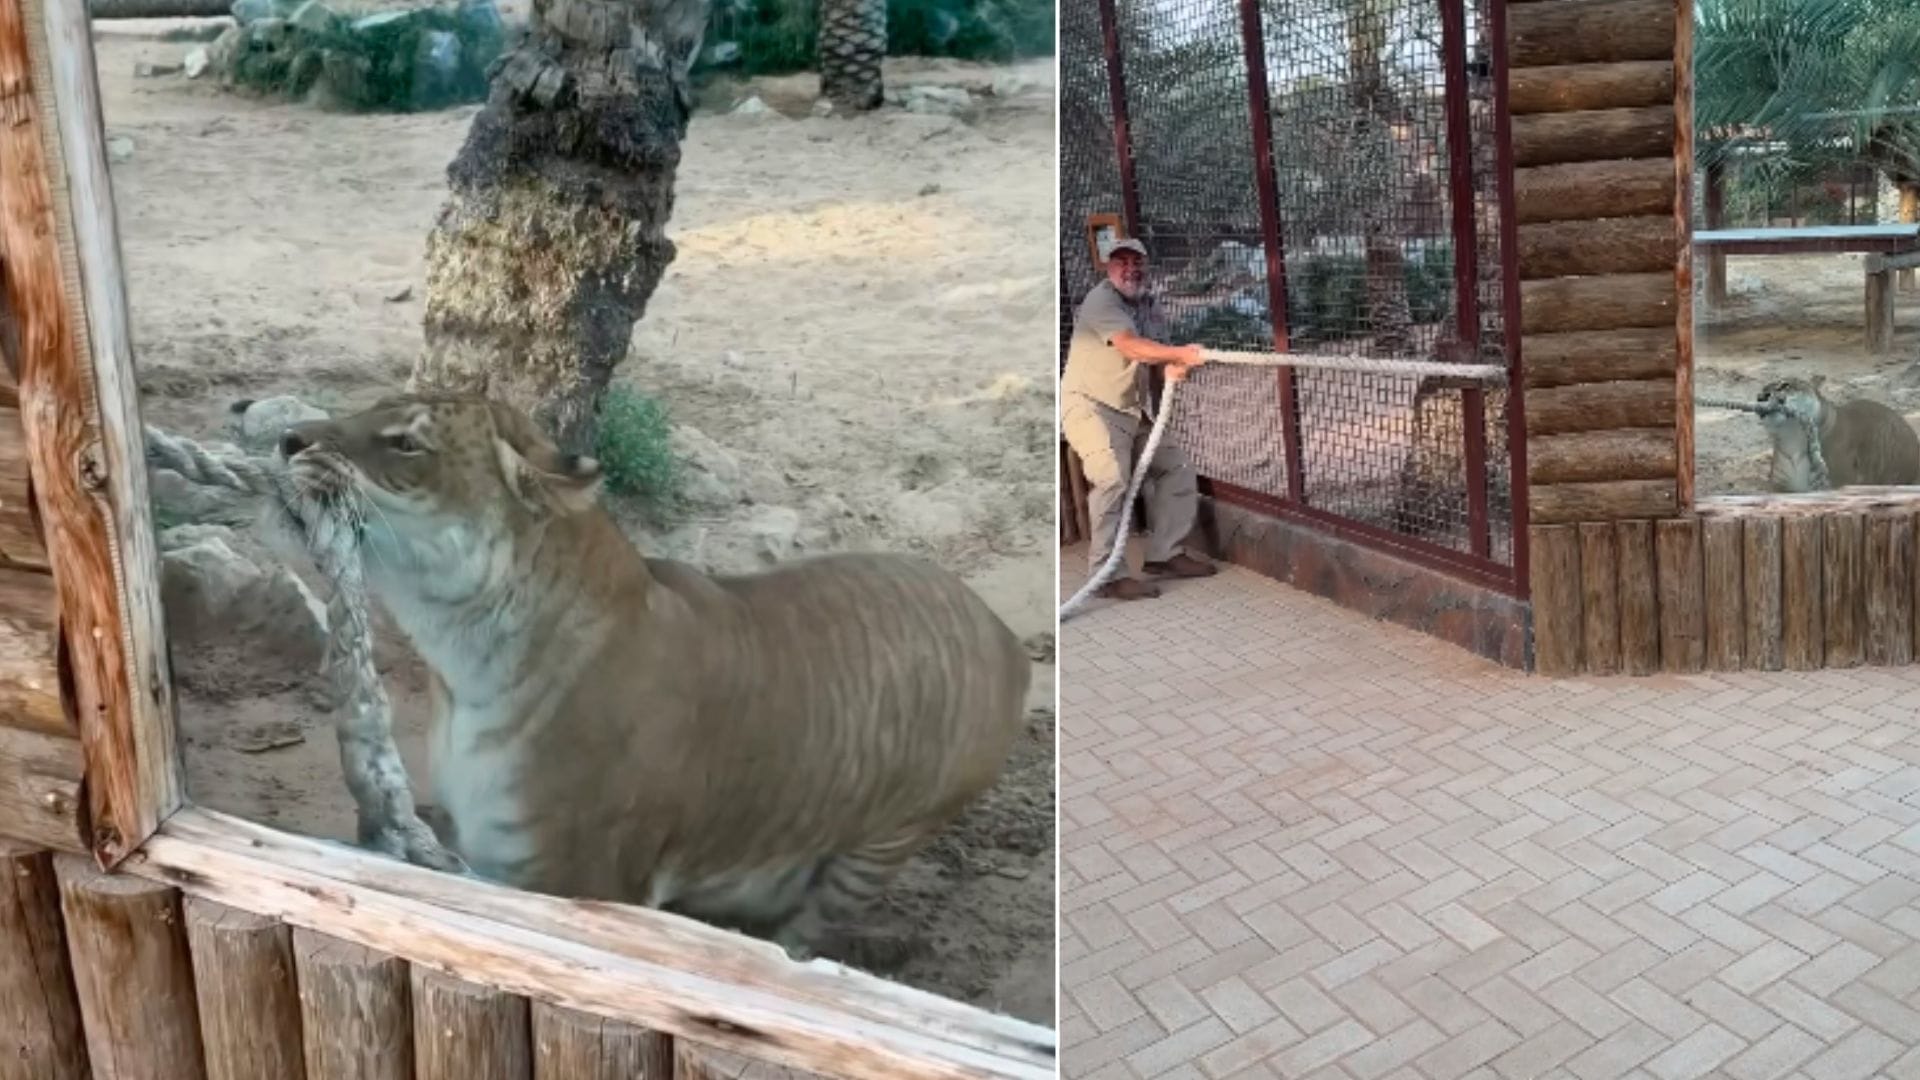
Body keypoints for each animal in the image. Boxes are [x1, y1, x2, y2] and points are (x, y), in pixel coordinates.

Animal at [275, 391, 1032, 959]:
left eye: (405, 443)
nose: (286, 437)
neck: (463, 666)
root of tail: (1004, 634)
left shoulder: (573, 879)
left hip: (887, 840)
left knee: (809, 934)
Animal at [1757, 375, 1920, 493]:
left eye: (1785, 385)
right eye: (1762, 390)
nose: (1760, 396)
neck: (1792, 439)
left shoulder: (1837, 483)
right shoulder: (1780, 488)